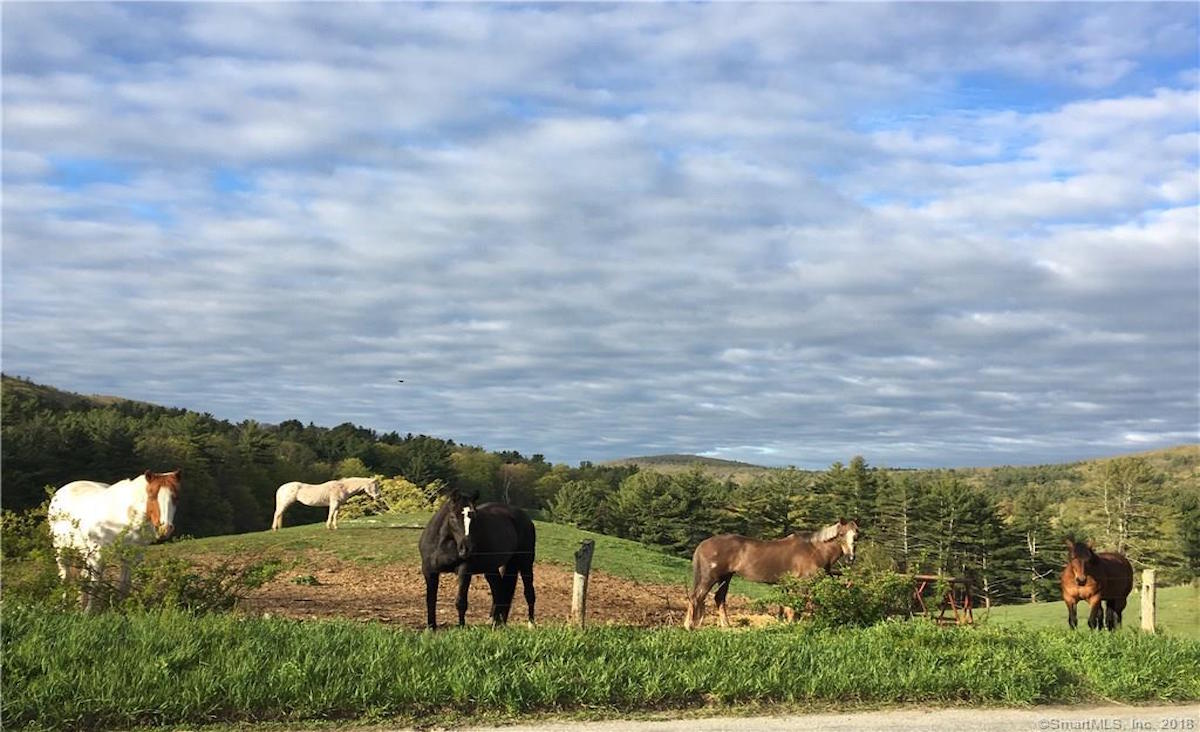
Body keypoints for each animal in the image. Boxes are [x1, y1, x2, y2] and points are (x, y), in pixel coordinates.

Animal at [48, 469, 182, 612]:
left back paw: (79, 605)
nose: (165, 528)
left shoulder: (131, 557)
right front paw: (88, 612)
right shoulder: (97, 557)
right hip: (61, 549)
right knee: (65, 577)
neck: (124, 519)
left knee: (82, 577)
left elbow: (124, 585)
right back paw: (64, 607)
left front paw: (120, 608)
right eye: (151, 496)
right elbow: (95, 585)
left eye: (175, 498)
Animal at [418, 486, 536, 629]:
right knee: (498, 591)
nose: (467, 548)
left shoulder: (464, 570)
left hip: (526, 563)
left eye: (474, 517)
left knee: (529, 592)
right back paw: (494, 622)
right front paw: (431, 628)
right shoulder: (429, 571)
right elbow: (430, 600)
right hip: (491, 568)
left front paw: (461, 628)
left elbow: (461, 602)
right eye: (453, 517)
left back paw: (531, 624)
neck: (441, 545)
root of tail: (525, 518)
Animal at [684, 518, 858, 629]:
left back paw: (726, 625)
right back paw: (689, 625)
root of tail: (703, 544)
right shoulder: (802, 585)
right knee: (696, 597)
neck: (814, 549)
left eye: (857, 536)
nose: (850, 558)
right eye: (841, 534)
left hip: (725, 578)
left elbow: (788, 606)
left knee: (719, 598)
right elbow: (797, 606)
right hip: (710, 577)